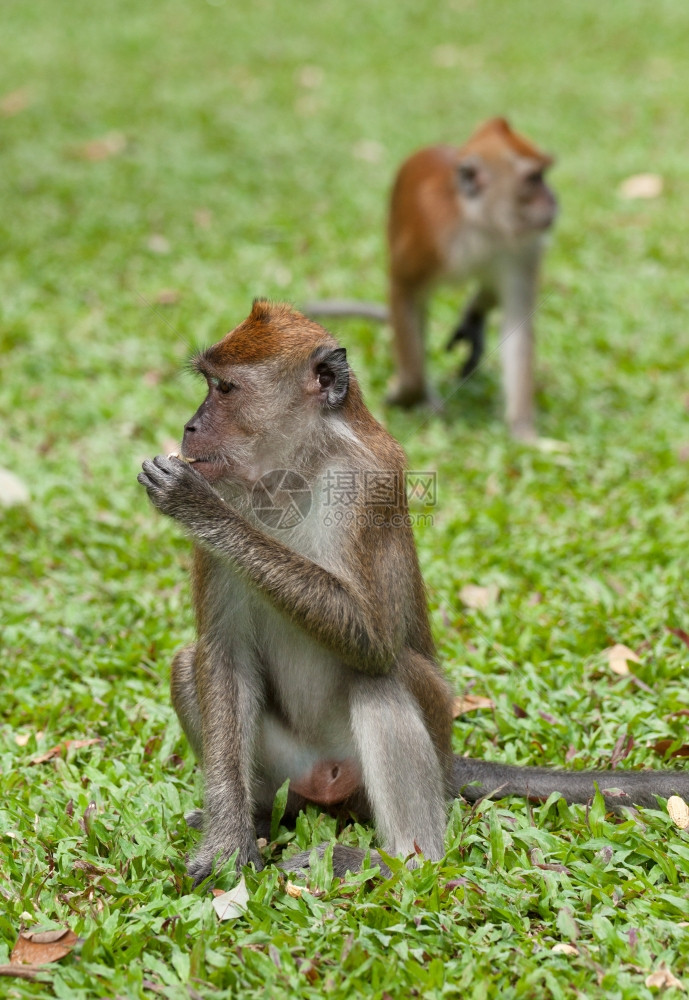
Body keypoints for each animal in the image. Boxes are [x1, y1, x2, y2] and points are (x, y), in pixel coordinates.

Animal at [140, 298, 688, 884]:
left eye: (224, 389)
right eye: (210, 384)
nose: (190, 426)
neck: (292, 474)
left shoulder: (367, 487)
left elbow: (375, 640)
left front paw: (198, 507)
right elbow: (223, 654)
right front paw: (227, 844)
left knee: (381, 679)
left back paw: (401, 860)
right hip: (291, 771)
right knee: (190, 661)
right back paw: (262, 817)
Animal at [306, 119, 560, 440]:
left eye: (542, 176)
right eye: (534, 178)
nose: (554, 200)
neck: (481, 224)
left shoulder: (523, 249)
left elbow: (517, 323)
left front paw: (523, 432)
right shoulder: (429, 236)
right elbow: (404, 289)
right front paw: (409, 392)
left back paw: (474, 317)